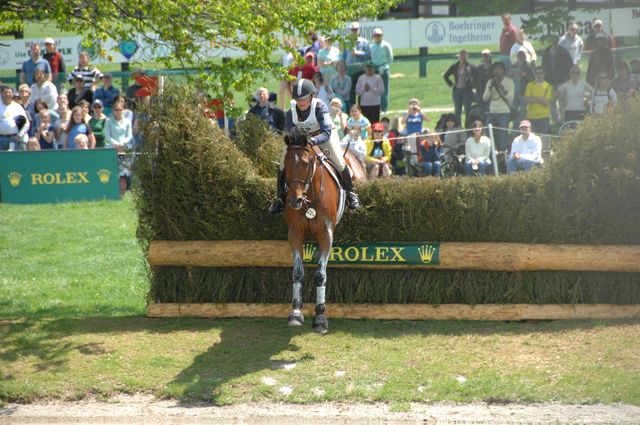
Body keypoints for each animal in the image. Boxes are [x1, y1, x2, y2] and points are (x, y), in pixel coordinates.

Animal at [284, 131, 356, 332]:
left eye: (305, 163)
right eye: (285, 164)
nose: (294, 201)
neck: (309, 197)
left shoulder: (325, 235)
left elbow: (320, 274)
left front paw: (320, 316)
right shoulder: (295, 234)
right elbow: (297, 272)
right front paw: (296, 312)